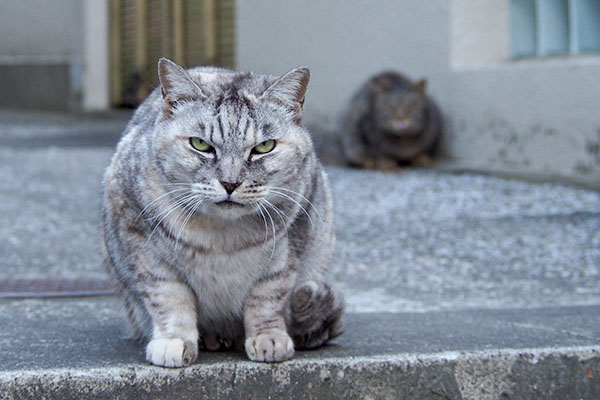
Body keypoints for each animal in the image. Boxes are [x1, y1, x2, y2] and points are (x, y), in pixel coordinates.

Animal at [102, 57, 342, 368]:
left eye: (264, 147)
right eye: (201, 144)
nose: (230, 183)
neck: (221, 235)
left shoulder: (292, 239)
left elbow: (267, 297)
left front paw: (268, 338)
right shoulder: (141, 241)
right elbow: (168, 296)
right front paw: (174, 340)